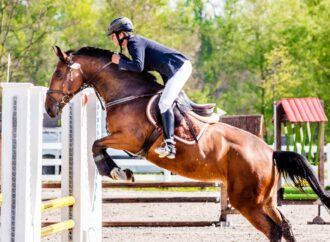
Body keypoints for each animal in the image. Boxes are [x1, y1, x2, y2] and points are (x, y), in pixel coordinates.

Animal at [44, 45, 330, 242]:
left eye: (58, 73)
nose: (49, 109)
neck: (127, 94)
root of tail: (271, 151)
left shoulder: (130, 138)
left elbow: (96, 144)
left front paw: (116, 171)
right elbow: (98, 145)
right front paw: (119, 171)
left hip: (247, 201)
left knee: (274, 230)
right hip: (264, 200)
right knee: (284, 227)